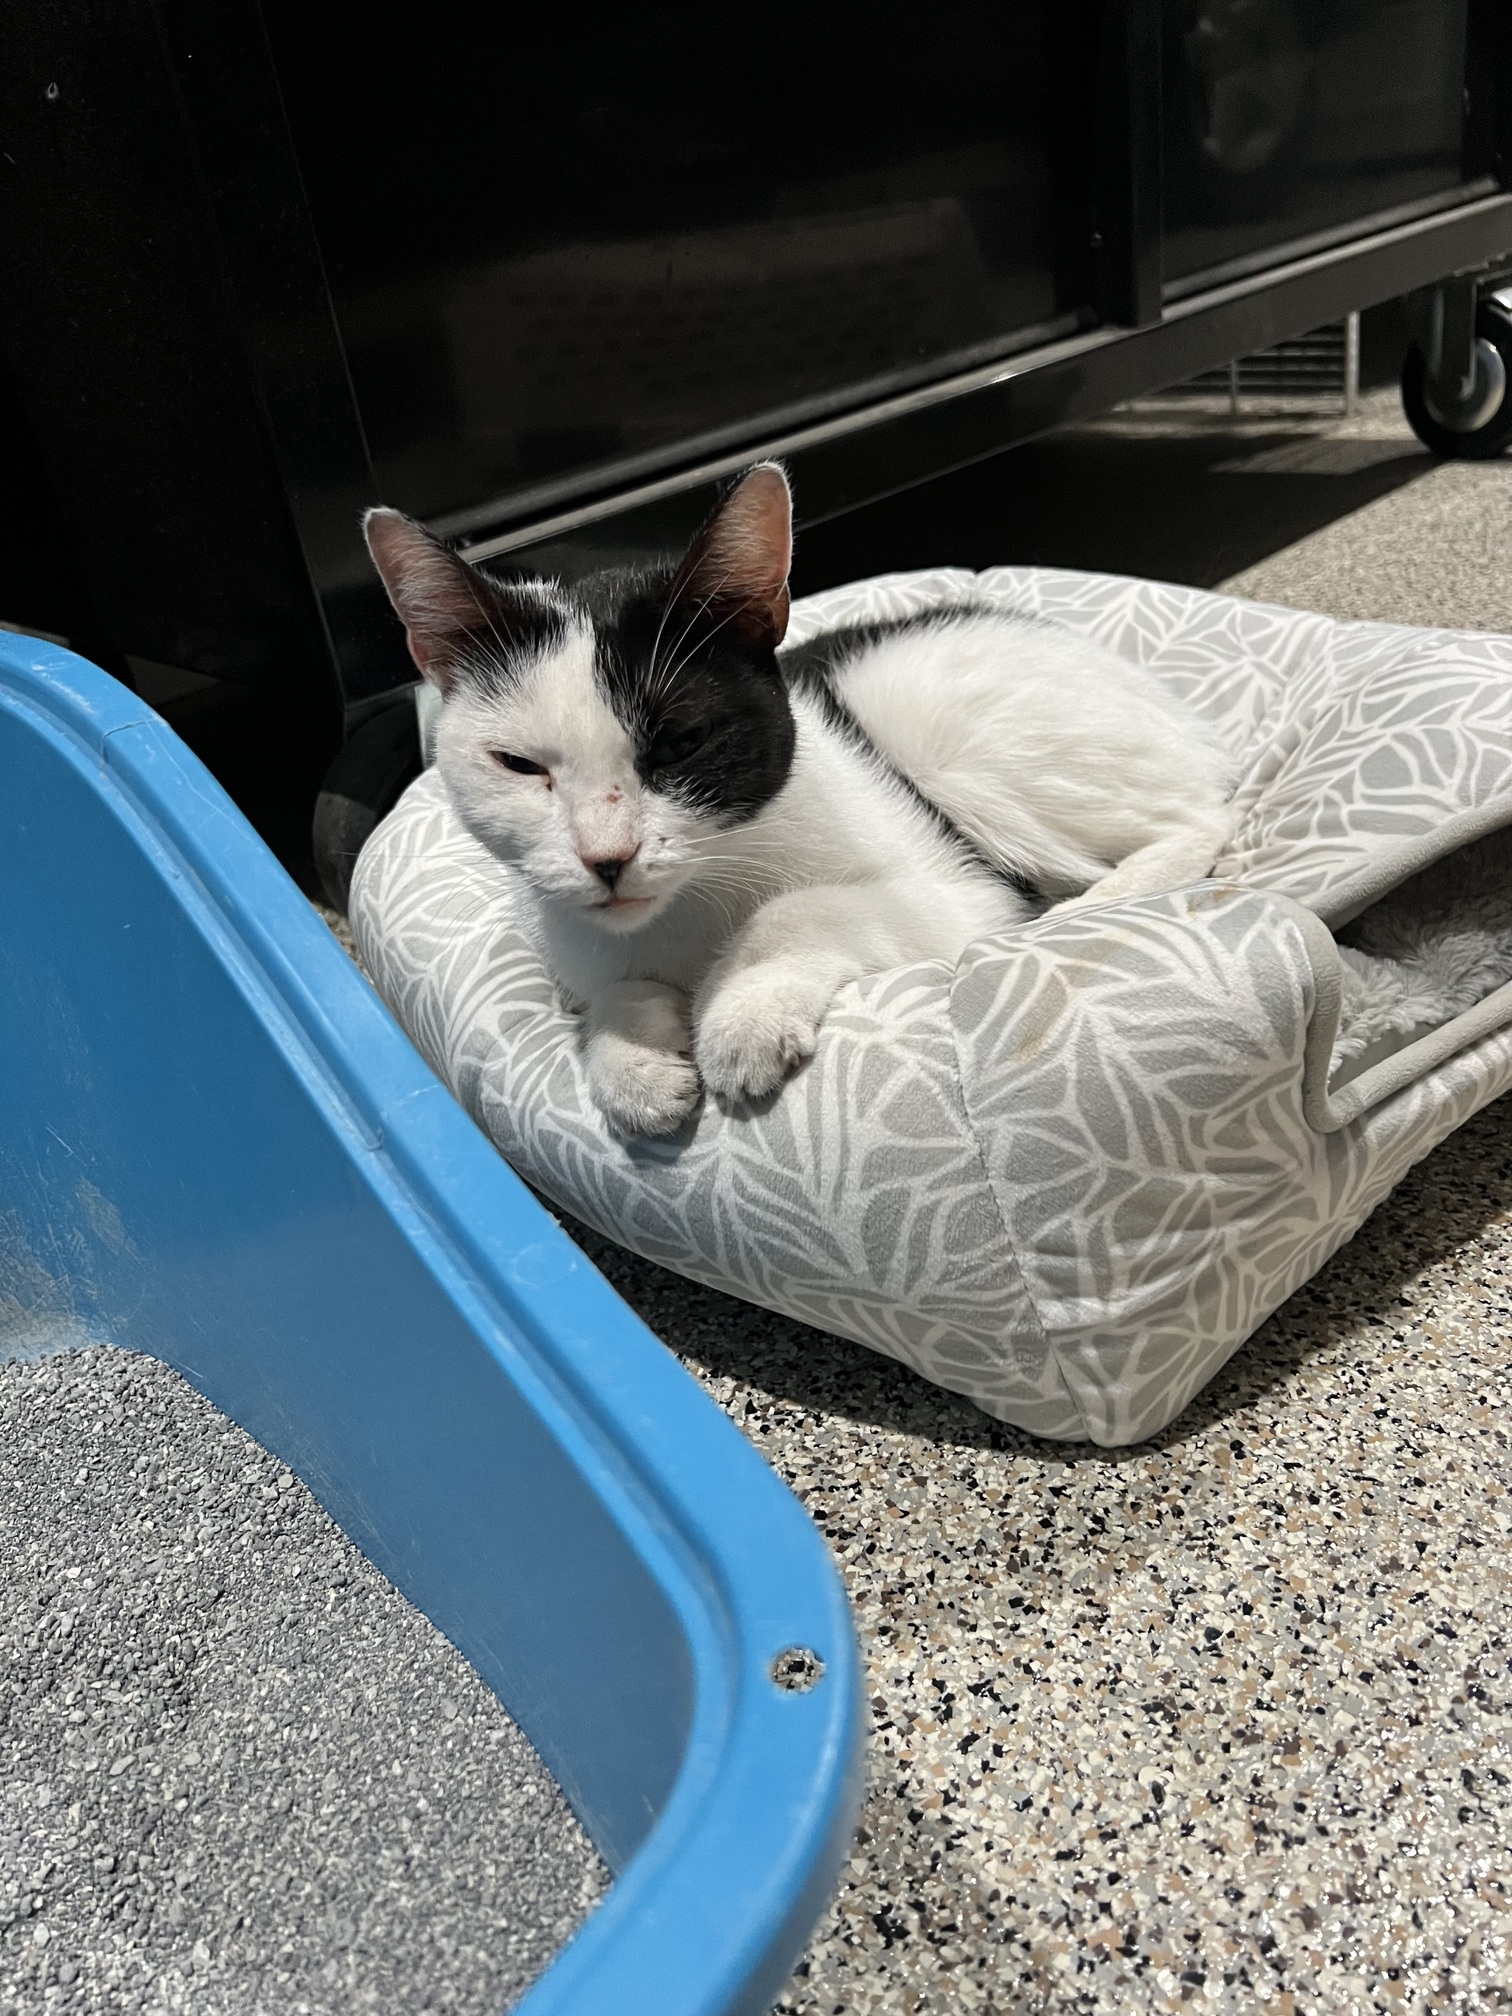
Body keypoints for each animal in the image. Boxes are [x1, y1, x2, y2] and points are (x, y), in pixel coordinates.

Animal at [365, 464, 1235, 1137]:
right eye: (517, 765)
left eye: (683, 741)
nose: (606, 857)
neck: (690, 902)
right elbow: (609, 986)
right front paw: (630, 1056)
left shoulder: (963, 894)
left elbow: (799, 909)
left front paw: (738, 1012)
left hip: (952, 733)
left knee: (1198, 818)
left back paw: (1103, 897)